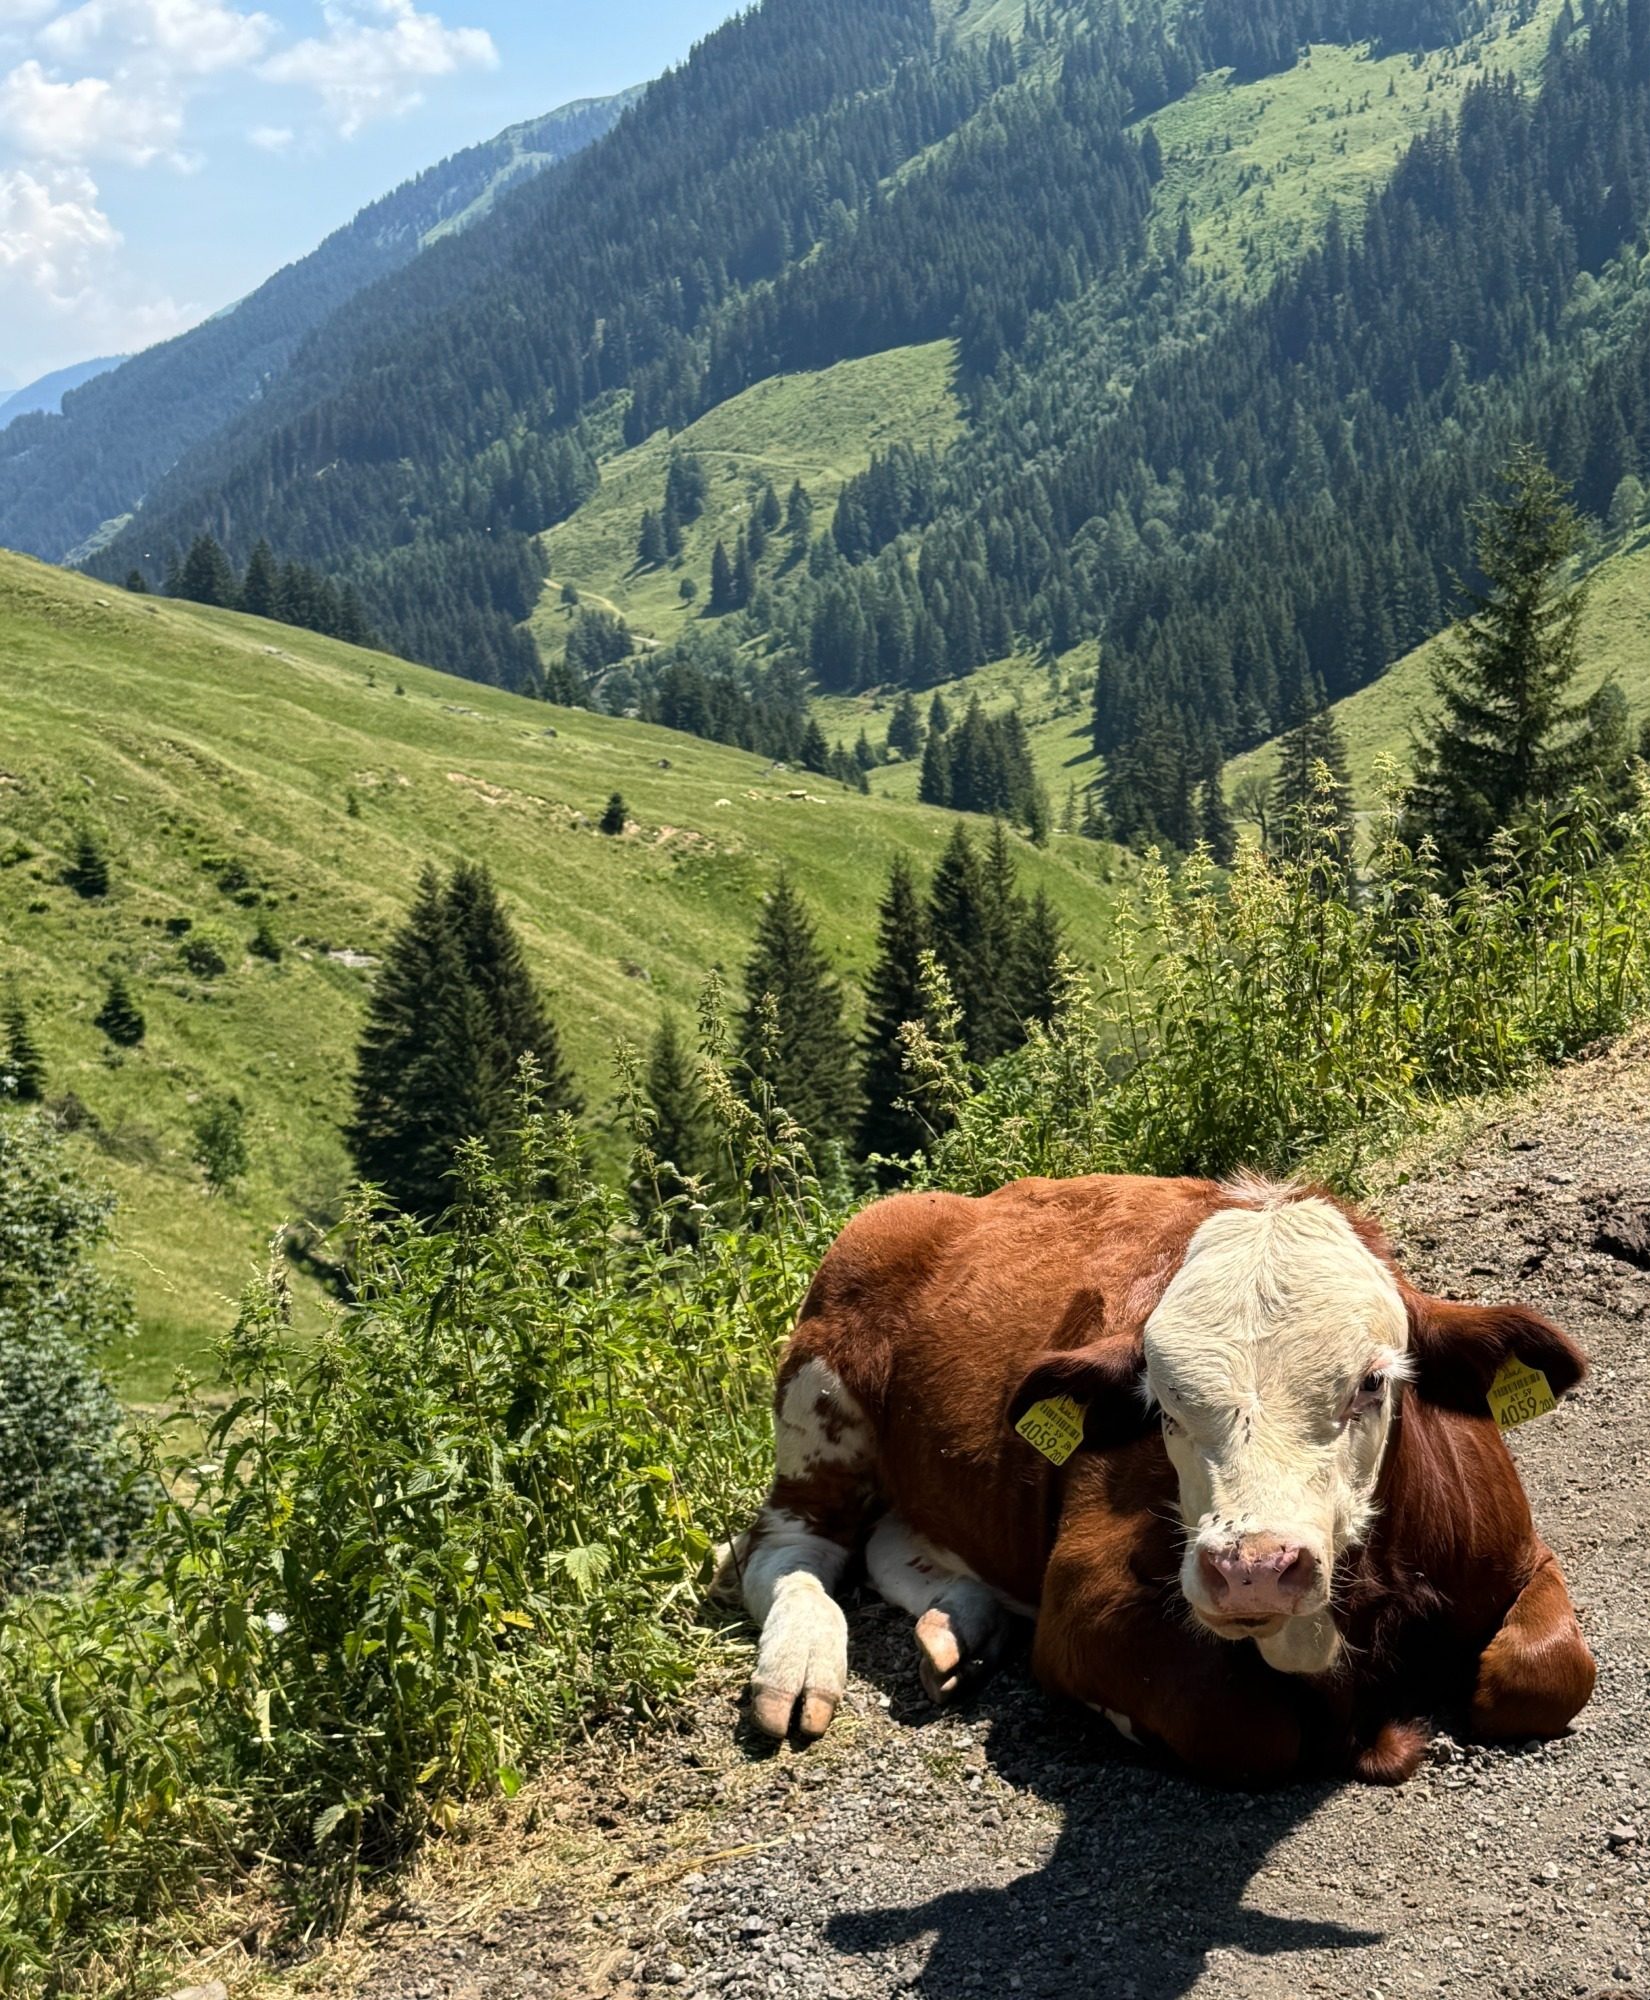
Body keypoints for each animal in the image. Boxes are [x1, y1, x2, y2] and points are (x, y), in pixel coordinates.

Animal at [734, 1173, 1595, 1785]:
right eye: (1165, 1406)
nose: (1253, 1571)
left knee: (890, 1538)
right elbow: (1243, 1726)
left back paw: (957, 1632)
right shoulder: (1081, 1609)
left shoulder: (1521, 1551)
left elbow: (1546, 1673)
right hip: (821, 1384)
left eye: (1373, 1383)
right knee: (789, 1547)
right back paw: (799, 1665)